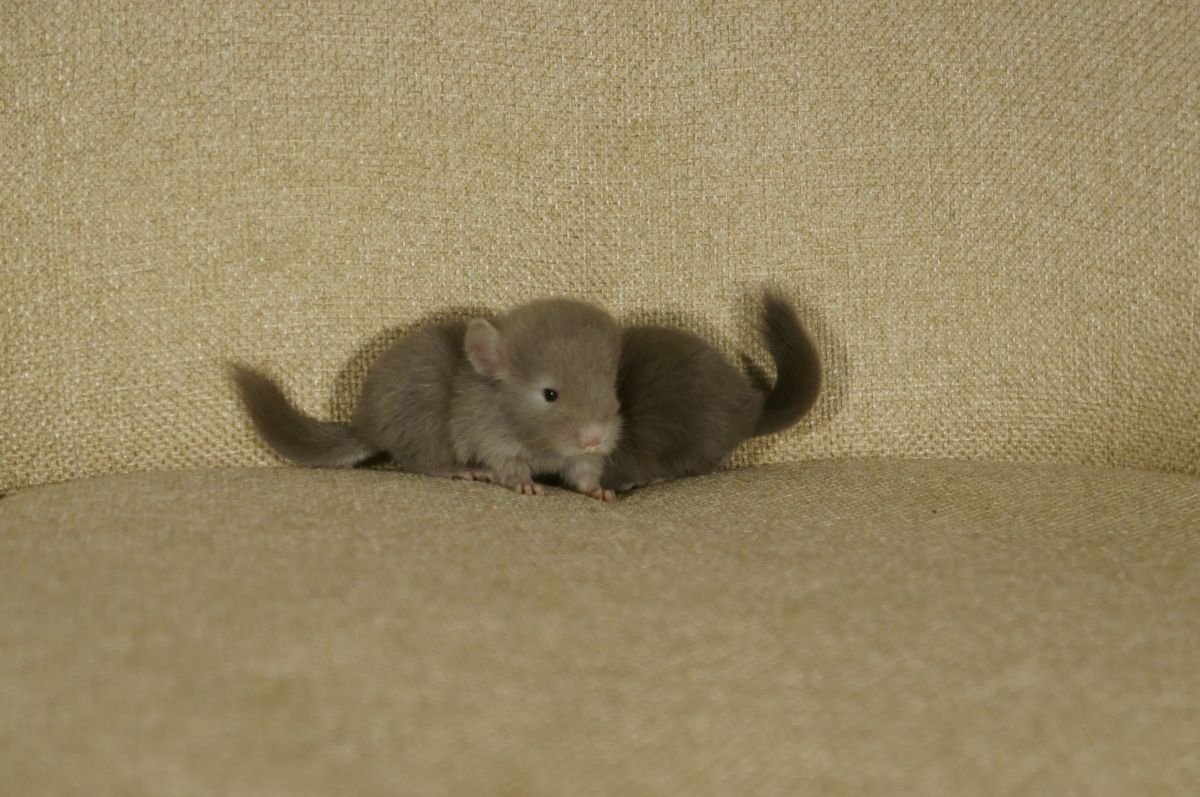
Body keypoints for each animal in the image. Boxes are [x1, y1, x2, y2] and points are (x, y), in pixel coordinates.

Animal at [232, 299, 623, 500]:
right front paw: (527, 485)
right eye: (550, 394)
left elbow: (585, 476)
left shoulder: (583, 459)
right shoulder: (494, 441)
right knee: (423, 464)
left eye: (611, 388)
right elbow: (509, 468)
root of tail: (368, 427)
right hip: (429, 429)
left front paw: (602, 492)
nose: (594, 438)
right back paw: (467, 471)